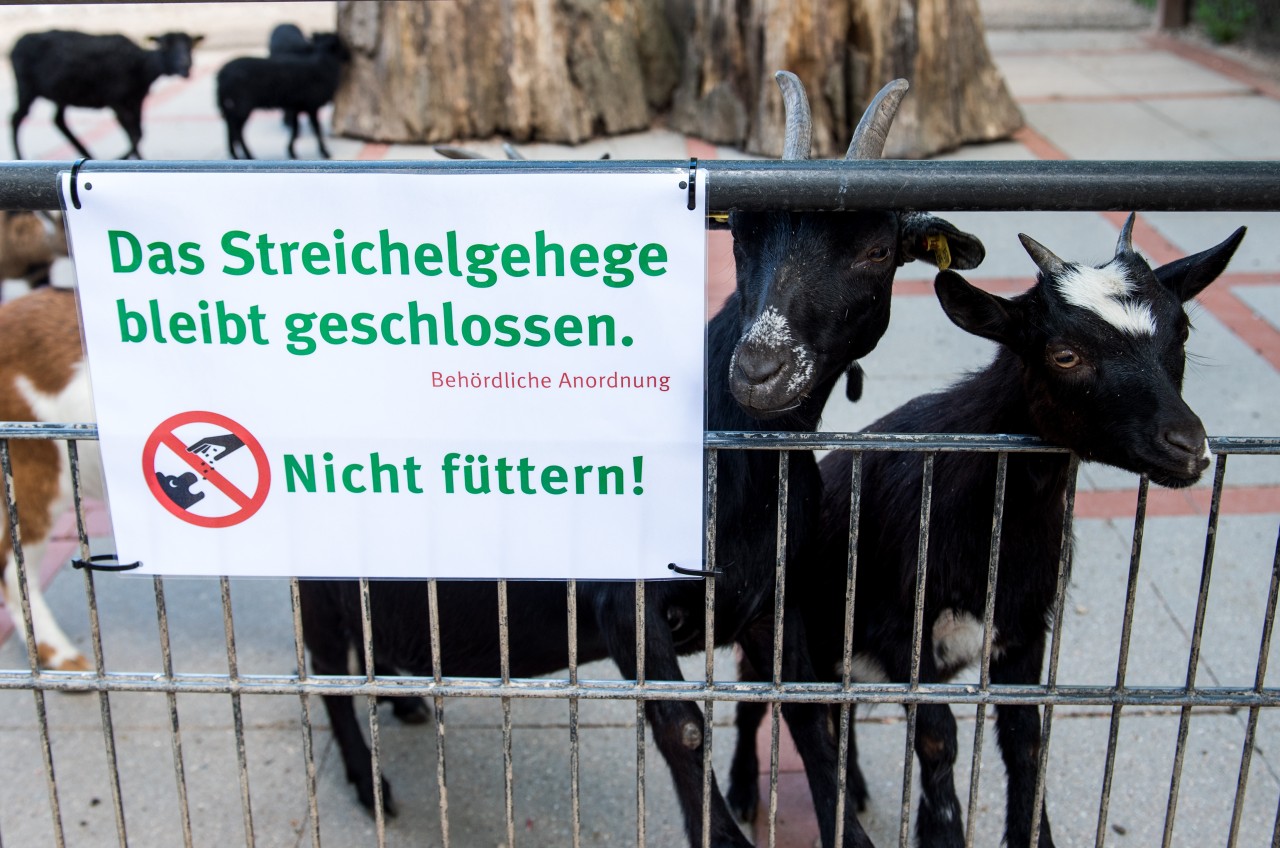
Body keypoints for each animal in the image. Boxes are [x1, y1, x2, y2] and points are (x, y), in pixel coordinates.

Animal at [8, 30, 202, 161]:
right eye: (165, 45)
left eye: (190, 46)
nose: (186, 66)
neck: (141, 65)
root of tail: (18, 42)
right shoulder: (116, 100)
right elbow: (134, 134)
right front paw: (124, 158)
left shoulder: (136, 100)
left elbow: (138, 133)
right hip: (27, 89)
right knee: (16, 118)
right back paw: (20, 156)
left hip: (61, 93)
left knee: (58, 121)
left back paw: (87, 153)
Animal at [215, 31, 348, 161]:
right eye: (340, 44)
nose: (349, 57)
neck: (324, 64)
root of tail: (221, 74)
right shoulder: (311, 106)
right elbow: (316, 129)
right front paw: (325, 152)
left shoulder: (295, 107)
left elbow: (295, 129)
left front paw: (292, 152)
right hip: (241, 106)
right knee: (237, 132)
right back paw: (248, 155)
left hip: (232, 106)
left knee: (230, 128)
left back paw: (235, 155)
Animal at [294, 74, 983, 848]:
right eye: (742, 236)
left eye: (876, 250)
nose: (759, 368)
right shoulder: (624, 603)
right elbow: (683, 728)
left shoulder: (774, 598)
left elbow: (809, 718)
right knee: (323, 666)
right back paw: (369, 783)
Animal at [737, 217, 1244, 848]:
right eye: (1064, 353)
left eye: (1183, 329)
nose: (1189, 446)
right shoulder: (899, 627)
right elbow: (937, 737)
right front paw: (941, 831)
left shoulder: (1024, 630)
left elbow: (1026, 740)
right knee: (762, 700)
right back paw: (745, 789)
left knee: (836, 707)